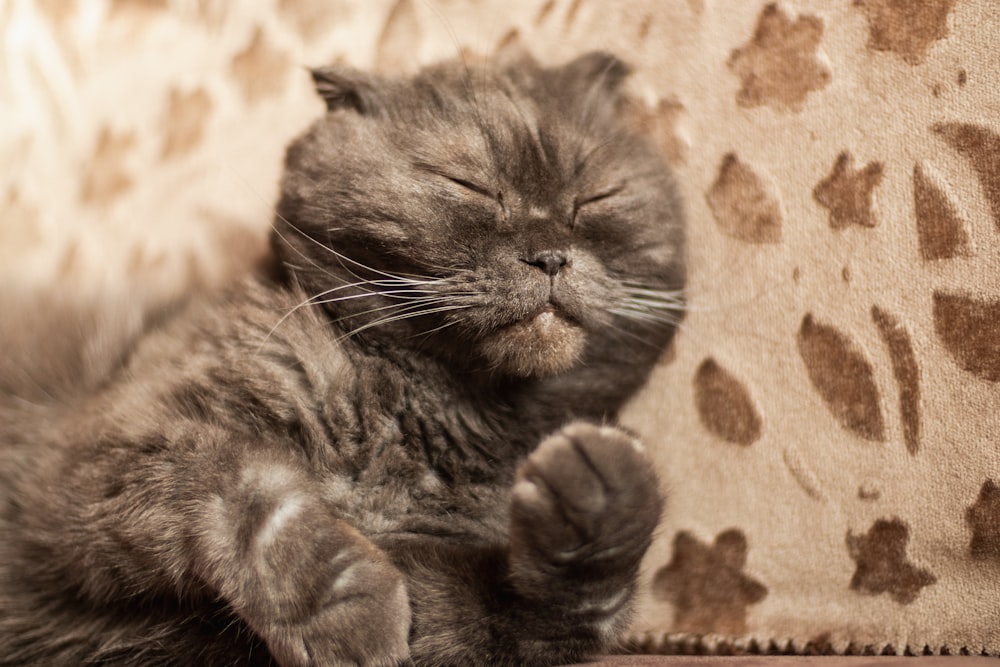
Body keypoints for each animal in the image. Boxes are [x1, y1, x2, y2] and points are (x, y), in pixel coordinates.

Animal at [0, 49, 684, 664]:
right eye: (467, 185)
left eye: (595, 198)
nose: (549, 254)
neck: (440, 420)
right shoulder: (100, 455)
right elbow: (250, 492)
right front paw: (350, 616)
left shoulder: (447, 610)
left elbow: (552, 615)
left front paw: (598, 497)